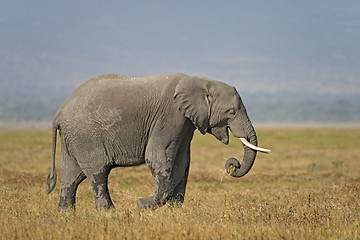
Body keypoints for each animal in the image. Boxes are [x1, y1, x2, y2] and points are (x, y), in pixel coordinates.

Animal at [45, 72, 270, 210]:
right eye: (231, 112)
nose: (233, 164)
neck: (200, 81)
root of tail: (59, 113)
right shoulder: (170, 116)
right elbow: (157, 157)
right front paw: (142, 204)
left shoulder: (185, 123)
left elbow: (182, 162)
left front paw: (174, 210)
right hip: (86, 136)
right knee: (97, 171)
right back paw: (109, 212)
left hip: (74, 138)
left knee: (72, 175)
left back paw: (66, 214)